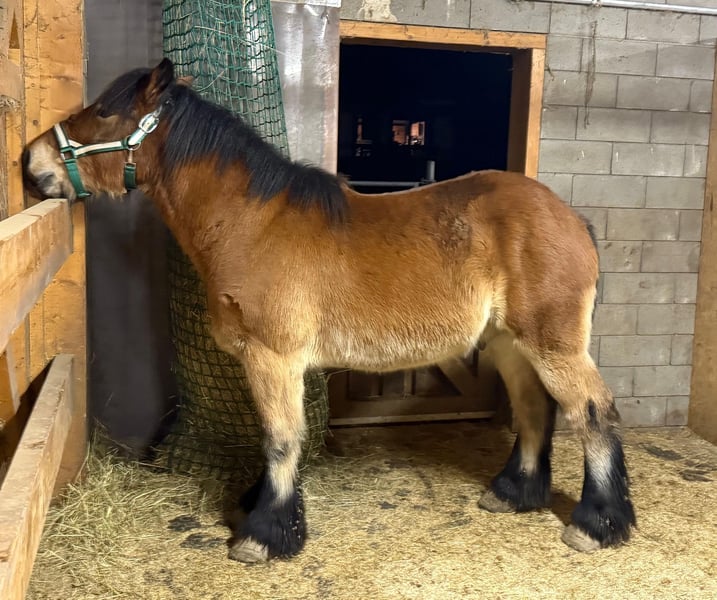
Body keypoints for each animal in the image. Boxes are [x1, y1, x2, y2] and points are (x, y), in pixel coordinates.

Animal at [22, 58, 635, 563]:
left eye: (104, 111)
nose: (32, 161)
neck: (251, 223)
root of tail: (570, 217)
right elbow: (273, 435)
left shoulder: (274, 357)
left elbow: (279, 438)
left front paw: (264, 533)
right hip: (509, 344)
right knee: (535, 410)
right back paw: (513, 494)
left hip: (552, 344)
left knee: (593, 412)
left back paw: (596, 524)